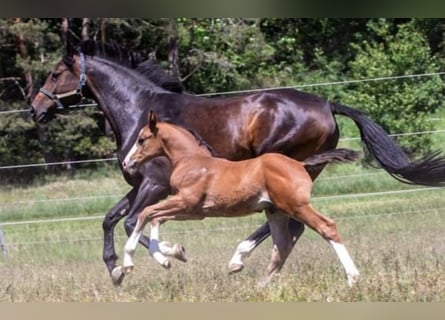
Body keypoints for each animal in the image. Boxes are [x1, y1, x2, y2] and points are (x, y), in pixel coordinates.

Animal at [120, 111, 360, 286]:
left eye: (141, 139)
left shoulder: (185, 202)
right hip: (275, 211)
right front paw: (173, 253)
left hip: (296, 206)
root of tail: (300, 164)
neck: (192, 161)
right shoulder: (193, 211)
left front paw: (130, 262)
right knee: (282, 244)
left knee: (326, 227)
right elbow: (155, 218)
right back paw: (261, 284)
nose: (126, 163)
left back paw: (352, 278)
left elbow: (145, 213)